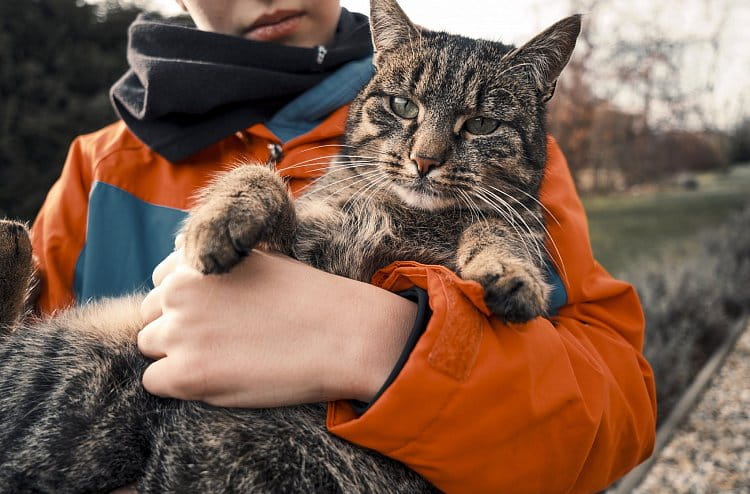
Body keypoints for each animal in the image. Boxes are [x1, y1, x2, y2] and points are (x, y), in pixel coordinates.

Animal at [0, 0, 580, 490]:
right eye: (402, 105)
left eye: (481, 124)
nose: (425, 159)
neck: (406, 216)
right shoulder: (304, 235)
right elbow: (263, 177)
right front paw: (220, 218)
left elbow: (499, 227)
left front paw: (510, 271)